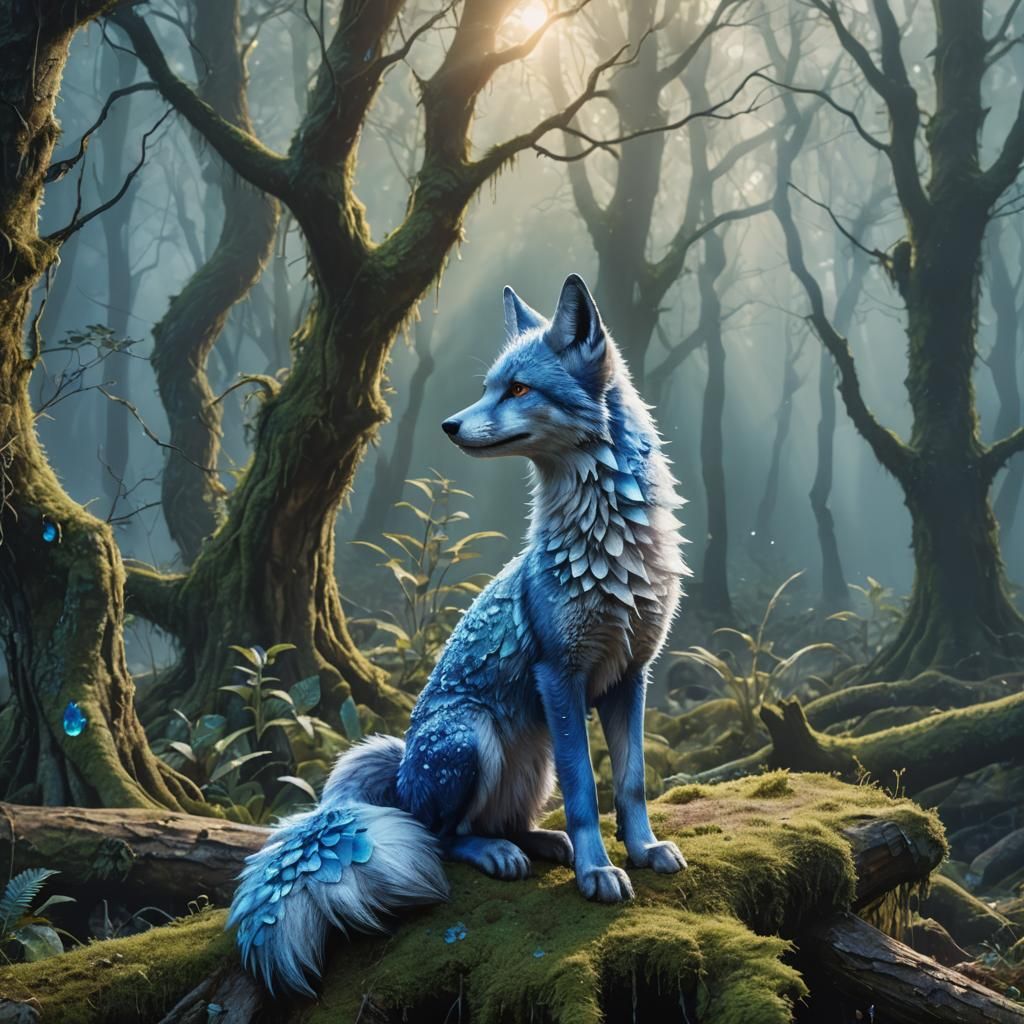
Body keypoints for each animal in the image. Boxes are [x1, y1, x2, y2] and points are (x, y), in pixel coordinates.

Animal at [228, 273, 691, 994]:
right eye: (489, 386)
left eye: (519, 389)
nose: (448, 425)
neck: (607, 547)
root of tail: (401, 775)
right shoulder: (560, 674)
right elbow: (587, 792)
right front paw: (597, 871)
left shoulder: (630, 676)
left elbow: (632, 783)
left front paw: (640, 850)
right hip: (471, 737)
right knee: (442, 835)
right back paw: (498, 852)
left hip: (532, 759)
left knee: (498, 820)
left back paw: (536, 843)